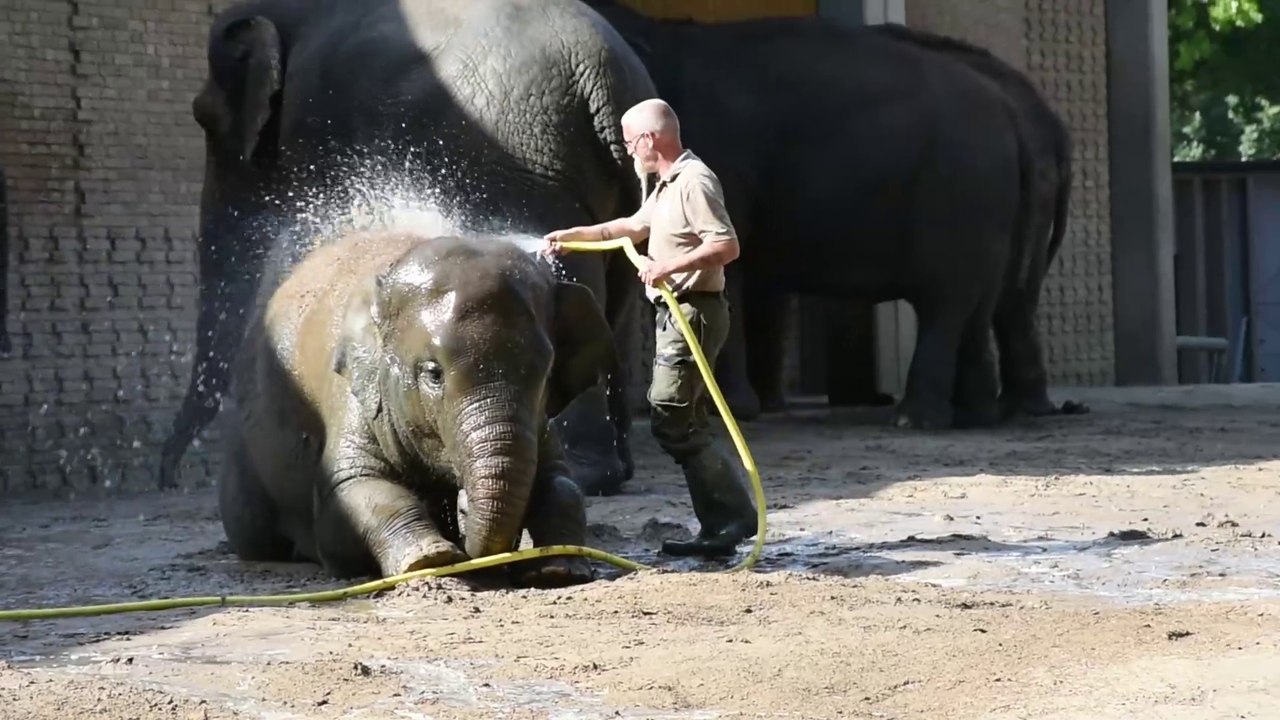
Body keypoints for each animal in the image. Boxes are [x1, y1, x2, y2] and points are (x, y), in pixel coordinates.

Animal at [158, 0, 658, 497]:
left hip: (526, 166)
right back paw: (615, 469)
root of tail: (604, 77)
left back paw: (587, 474)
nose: (168, 477)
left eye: (204, 117)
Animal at [219, 229, 613, 587]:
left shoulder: (540, 421)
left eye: (545, 372)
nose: (463, 508)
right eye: (433, 374)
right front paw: (429, 561)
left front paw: (557, 569)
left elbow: (561, 483)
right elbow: (355, 490)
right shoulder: (356, 395)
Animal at [583, 2, 1030, 429]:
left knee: (944, 302)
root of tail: (1008, 108)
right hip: (986, 204)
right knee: (977, 307)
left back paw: (915, 420)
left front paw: (731, 409)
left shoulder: (725, 163)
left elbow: (731, 263)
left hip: (957, 190)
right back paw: (975, 417)